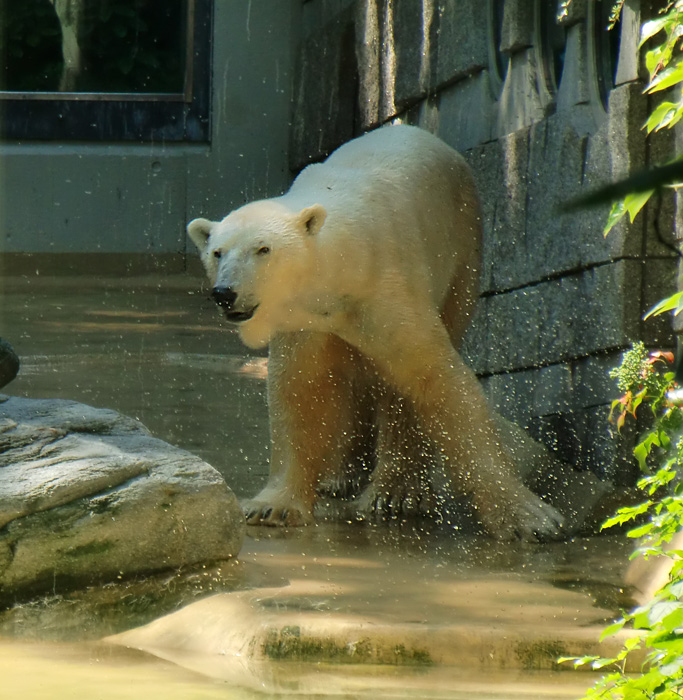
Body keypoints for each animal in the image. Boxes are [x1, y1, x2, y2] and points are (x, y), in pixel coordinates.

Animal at [190, 124, 564, 540]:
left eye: (263, 249)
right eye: (217, 252)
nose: (225, 292)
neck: (344, 260)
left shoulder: (387, 287)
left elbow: (438, 382)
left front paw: (530, 517)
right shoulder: (308, 321)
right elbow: (302, 388)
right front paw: (272, 506)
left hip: (462, 253)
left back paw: (397, 492)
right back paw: (341, 476)